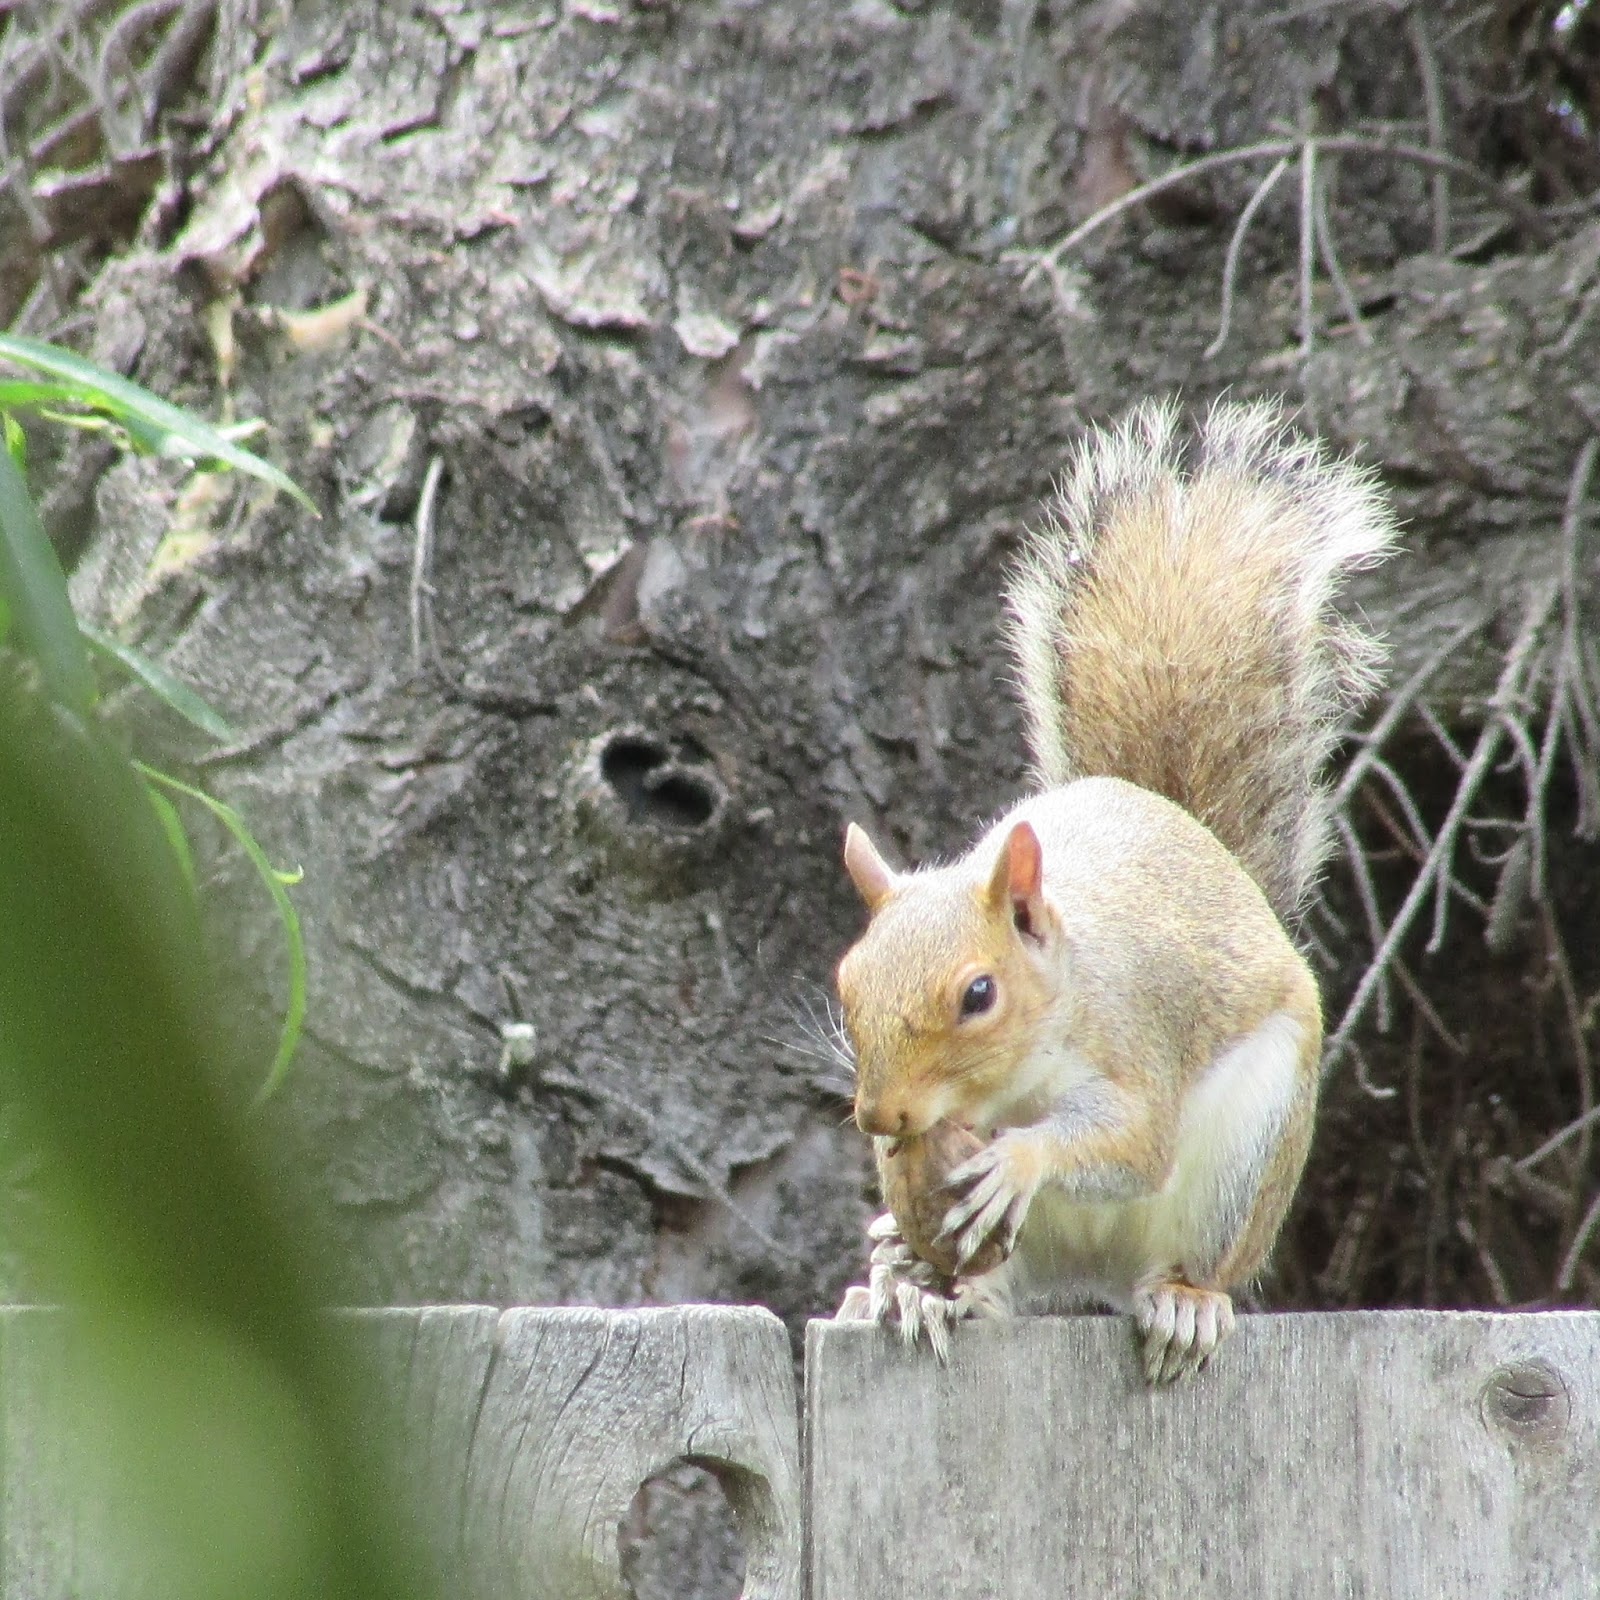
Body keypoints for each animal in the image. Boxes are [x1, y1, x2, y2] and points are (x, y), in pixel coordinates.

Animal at [832, 398, 1396, 1381]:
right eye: (846, 984)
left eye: (978, 994)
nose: (881, 1114)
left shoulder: (1135, 1038)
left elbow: (1131, 1140)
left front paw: (1017, 1161)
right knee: (1002, 1287)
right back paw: (921, 1288)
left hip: (1243, 1165)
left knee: (1192, 1255)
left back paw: (1183, 1305)